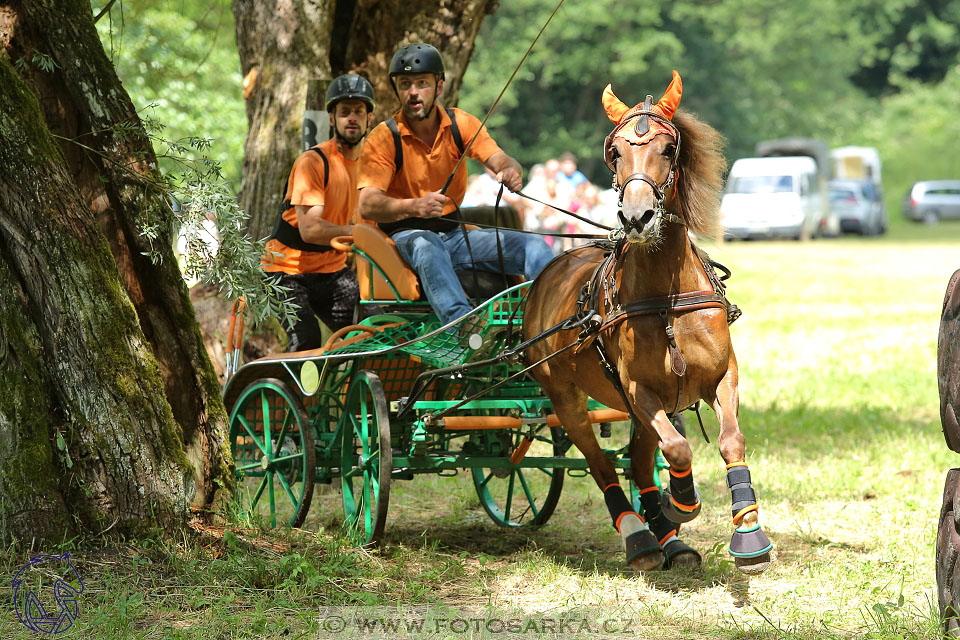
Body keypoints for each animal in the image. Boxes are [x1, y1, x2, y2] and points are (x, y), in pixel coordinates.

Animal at [520, 72, 776, 576]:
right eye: (615, 151)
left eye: (668, 148)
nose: (636, 217)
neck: (665, 299)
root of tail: (550, 271)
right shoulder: (639, 392)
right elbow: (677, 449)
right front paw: (683, 502)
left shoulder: (722, 377)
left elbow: (731, 441)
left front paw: (748, 533)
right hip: (567, 398)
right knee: (601, 464)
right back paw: (640, 536)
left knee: (638, 465)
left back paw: (670, 540)